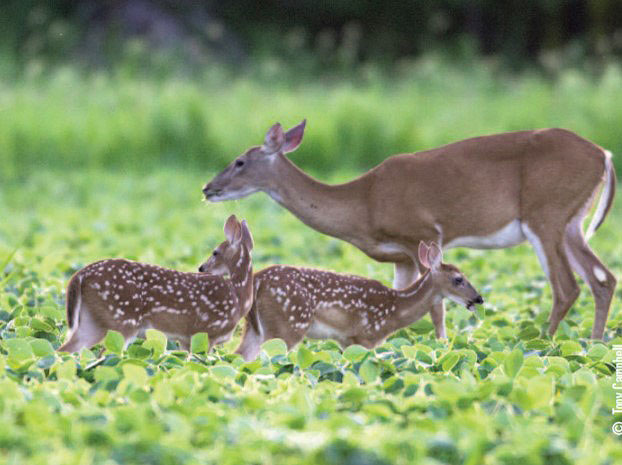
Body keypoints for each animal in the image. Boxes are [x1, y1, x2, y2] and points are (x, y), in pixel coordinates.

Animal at [56, 214, 255, 352]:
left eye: (215, 252)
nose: (201, 268)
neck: (239, 298)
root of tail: (80, 275)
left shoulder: (186, 340)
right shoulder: (207, 332)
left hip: (92, 321)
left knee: (64, 350)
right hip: (122, 319)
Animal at [202, 241, 486, 360]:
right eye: (459, 279)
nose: (479, 298)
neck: (395, 310)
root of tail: (257, 280)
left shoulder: (346, 341)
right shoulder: (366, 336)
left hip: (255, 327)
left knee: (240, 357)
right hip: (287, 325)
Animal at [206, 119, 620, 338]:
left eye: (239, 161)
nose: (208, 188)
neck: (364, 202)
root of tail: (604, 154)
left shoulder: (423, 233)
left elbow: (435, 307)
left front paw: (442, 344)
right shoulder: (400, 256)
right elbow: (399, 300)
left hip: (546, 214)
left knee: (567, 286)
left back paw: (545, 343)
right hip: (572, 222)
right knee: (603, 278)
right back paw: (593, 344)